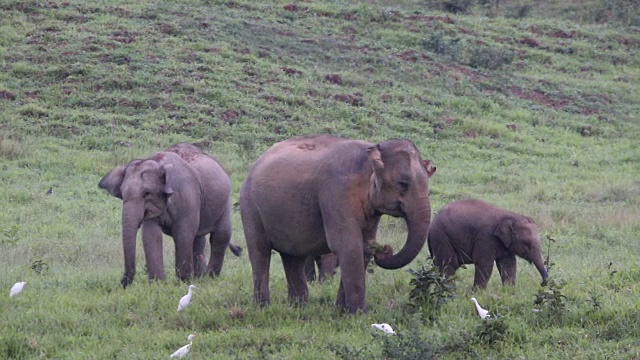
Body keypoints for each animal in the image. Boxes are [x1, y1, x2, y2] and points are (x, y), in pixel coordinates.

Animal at [99, 143, 241, 286]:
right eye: (122, 194)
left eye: (146, 193)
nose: (122, 283)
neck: (158, 163)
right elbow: (151, 235)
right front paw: (158, 284)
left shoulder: (187, 196)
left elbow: (183, 234)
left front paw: (183, 282)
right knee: (199, 239)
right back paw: (199, 277)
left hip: (225, 201)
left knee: (220, 235)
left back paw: (210, 277)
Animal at [238, 135, 438, 312]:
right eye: (403, 183)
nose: (385, 249)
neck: (371, 150)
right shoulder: (335, 192)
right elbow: (348, 245)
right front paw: (357, 314)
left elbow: (365, 246)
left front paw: (341, 311)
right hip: (249, 206)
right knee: (260, 252)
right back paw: (263, 307)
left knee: (293, 257)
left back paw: (298, 307)